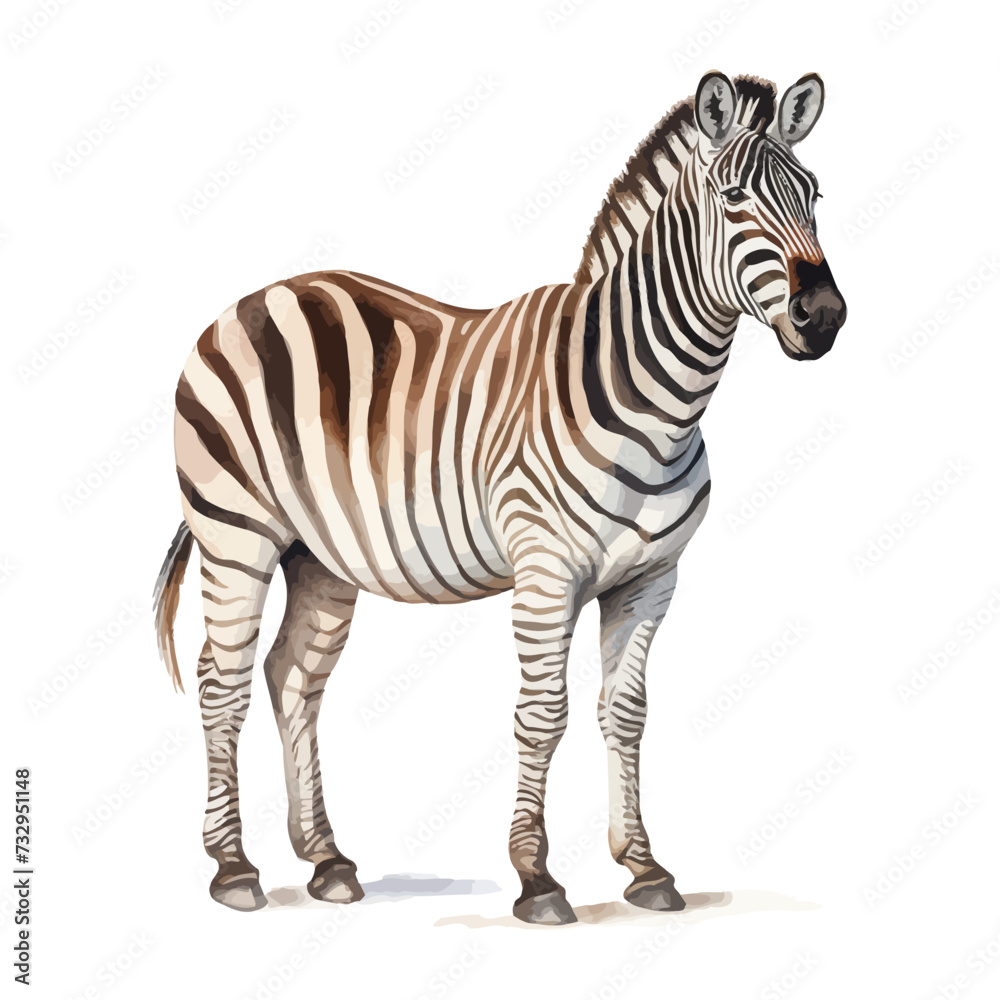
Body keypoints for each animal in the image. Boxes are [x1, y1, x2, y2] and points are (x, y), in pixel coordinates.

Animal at [153, 71, 847, 925]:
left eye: (813, 194)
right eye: (734, 196)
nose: (824, 316)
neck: (658, 400)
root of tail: (256, 297)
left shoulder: (651, 580)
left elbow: (626, 712)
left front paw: (644, 868)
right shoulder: (545, 571)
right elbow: (542, 715)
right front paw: (537, 877)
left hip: (318, 555)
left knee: (293, 677)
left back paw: (326, 860)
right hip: (236, 534)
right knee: (223, 683)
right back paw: (233, 869)